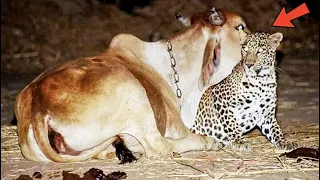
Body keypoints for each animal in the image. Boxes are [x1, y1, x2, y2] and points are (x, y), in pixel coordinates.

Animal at [15, 7, 250, 162]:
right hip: (133, 92)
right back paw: (208, 142)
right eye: (240, 26)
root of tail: (38, 106)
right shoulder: (176, 126)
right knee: (159, 146)